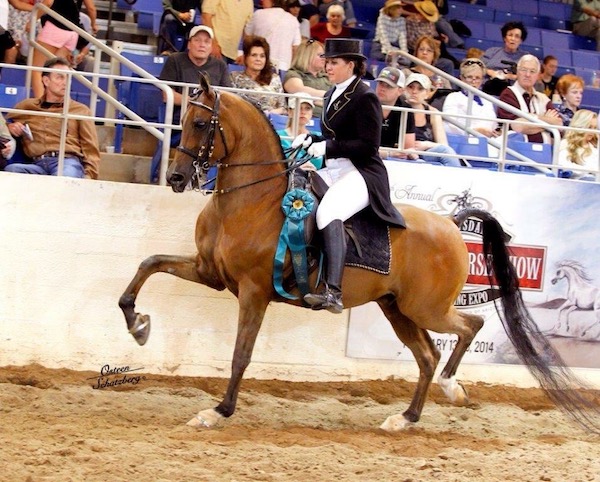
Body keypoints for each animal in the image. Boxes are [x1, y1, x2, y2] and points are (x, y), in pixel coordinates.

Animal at [118, 75, 600, 434]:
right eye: (182, 118)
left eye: (202, 124)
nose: (176, 178)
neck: (249, 199)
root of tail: (451, 224)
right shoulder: (209, 273)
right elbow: (148, 264)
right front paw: (138, 324)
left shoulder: (254, 291)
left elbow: (241, 354)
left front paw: (217, 411)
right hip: (396, 308)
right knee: (428, 355)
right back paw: (405, 418)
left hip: (424, 307)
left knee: (469, 327)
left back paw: (451, 388)